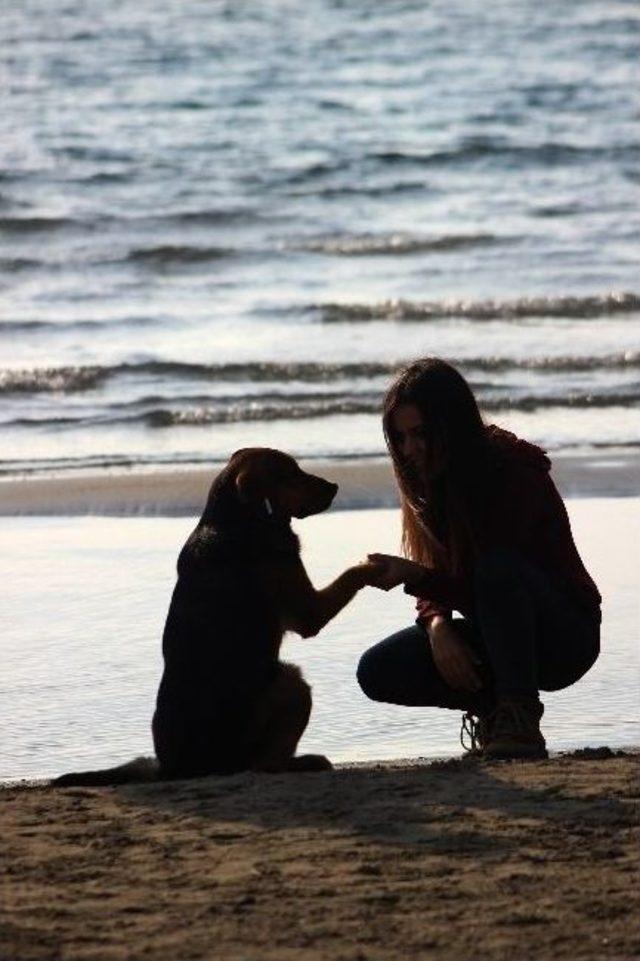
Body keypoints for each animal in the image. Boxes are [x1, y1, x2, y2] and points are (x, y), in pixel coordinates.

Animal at [55, 446, 376, 784]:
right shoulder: (308, 612)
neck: (236, 519)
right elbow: (351, 575)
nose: (335, 487)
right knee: (264, 764)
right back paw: (305, 762)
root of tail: (173, 769)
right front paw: (376, 566)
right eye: (290, 474)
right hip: (290, 683)